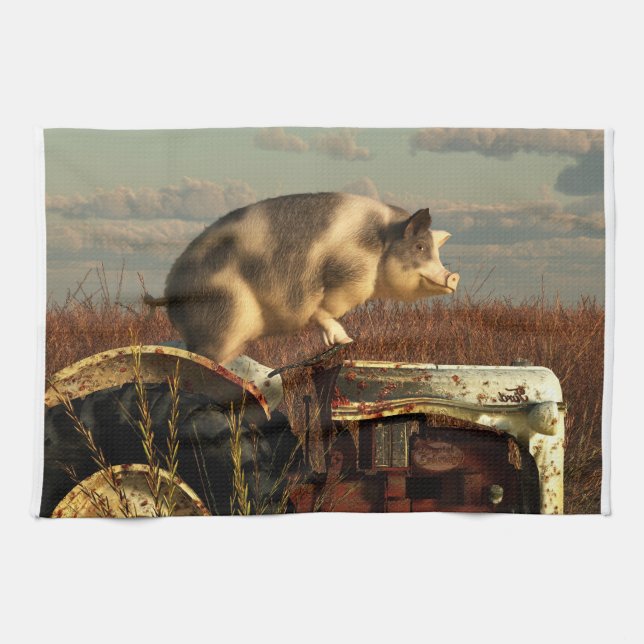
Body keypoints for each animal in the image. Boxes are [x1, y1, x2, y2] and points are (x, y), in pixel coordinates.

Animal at [147, 192, 459, 364]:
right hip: (223, 318)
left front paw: (340, 343)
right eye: (419, 247)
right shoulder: (348, 274)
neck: (380, 243)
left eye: (435, 250)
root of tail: (169, 293)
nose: (453, 276)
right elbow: (323, 310)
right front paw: (344, 339)